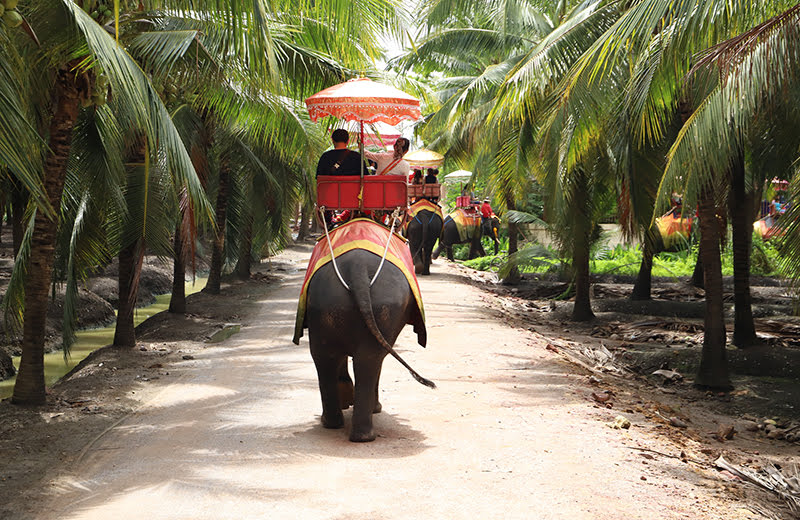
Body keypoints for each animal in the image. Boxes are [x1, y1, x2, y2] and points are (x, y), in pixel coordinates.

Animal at [292, 244, 434, 442]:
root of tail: (357, 268)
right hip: (379, 307)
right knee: (368, 360)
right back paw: (361, 430)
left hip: (328, 306)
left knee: (332, 358)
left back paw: (338, 425)